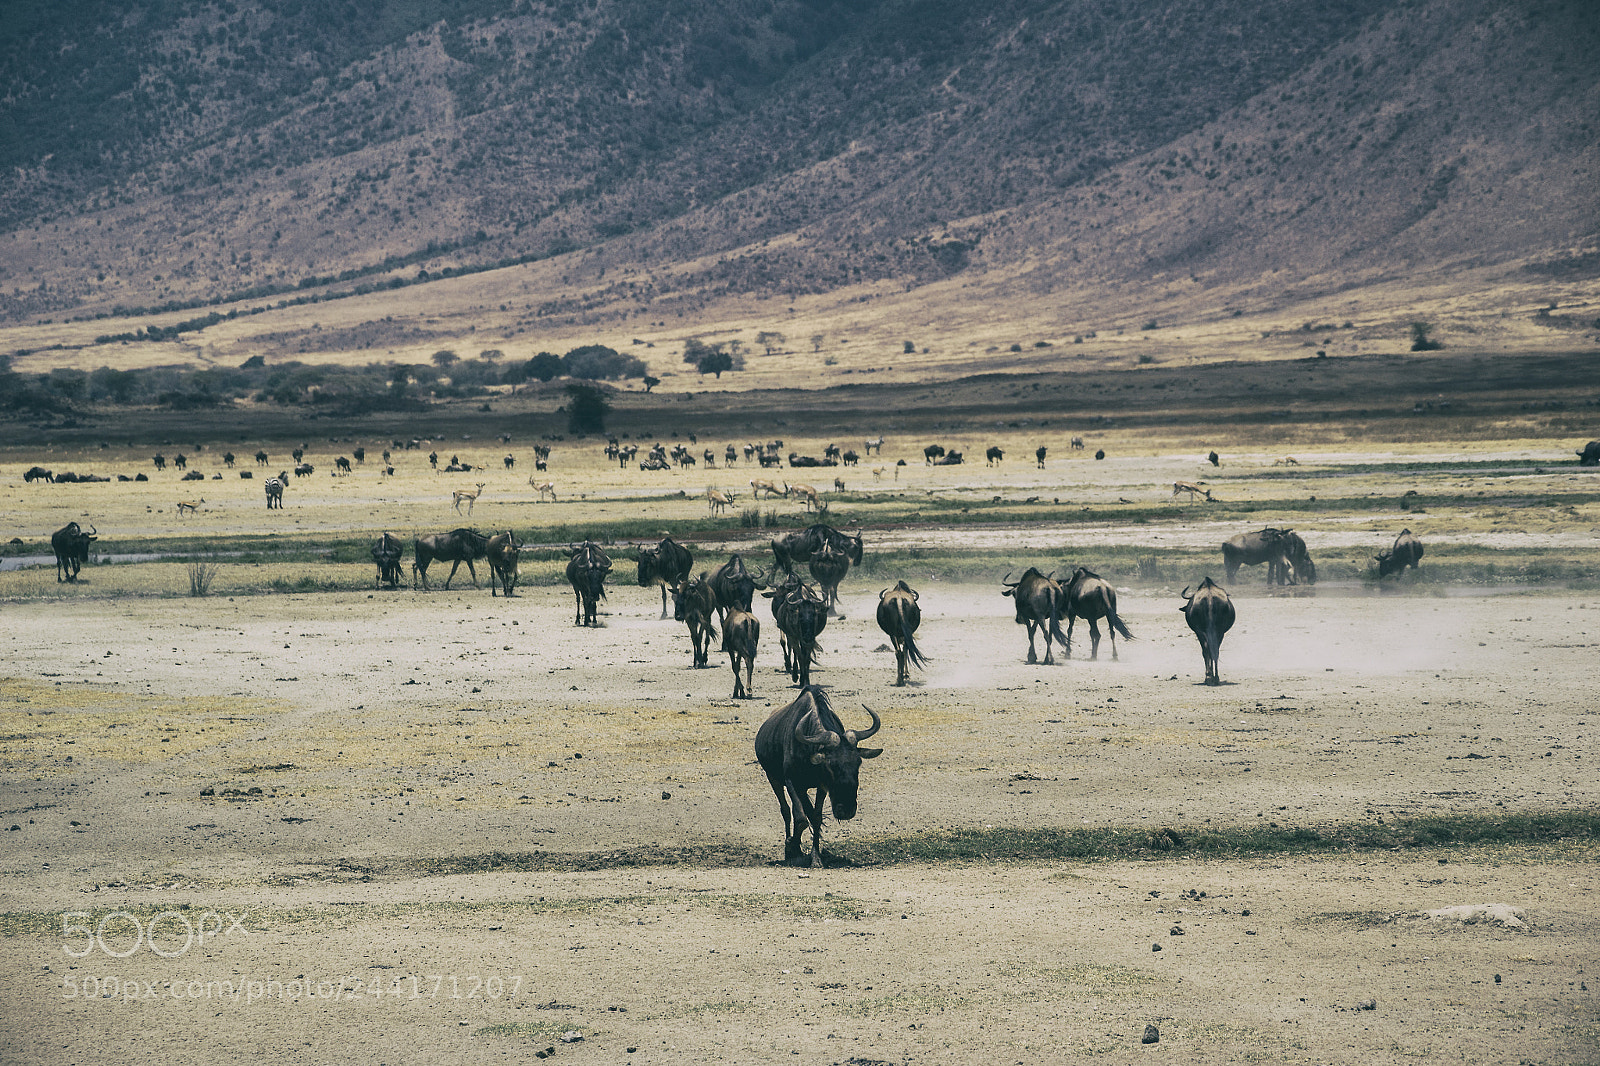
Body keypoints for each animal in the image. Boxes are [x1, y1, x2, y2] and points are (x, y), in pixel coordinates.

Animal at [754, 686, 882, 867]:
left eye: (858, 763)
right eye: (830, 765)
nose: (846, 810)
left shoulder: (821, 787)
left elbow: (815, 817)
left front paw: (816, 858)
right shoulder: (792, 781)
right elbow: (801, 819)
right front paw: (792, 846)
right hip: (773, 778)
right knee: (786, 810)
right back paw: (789, 848)